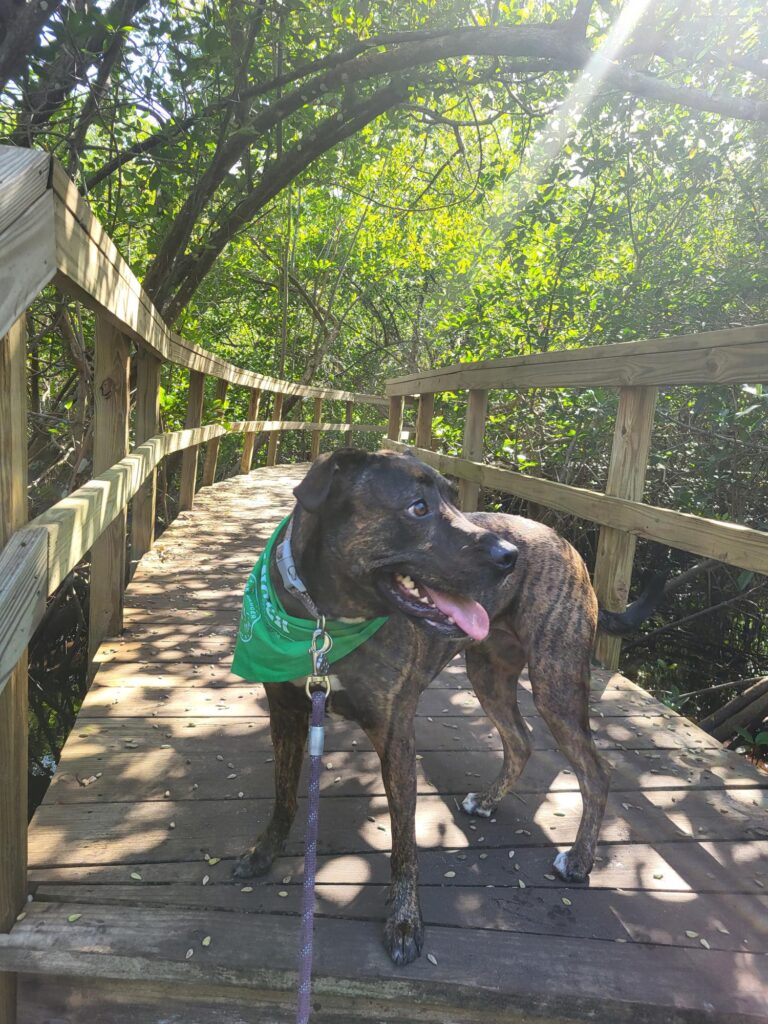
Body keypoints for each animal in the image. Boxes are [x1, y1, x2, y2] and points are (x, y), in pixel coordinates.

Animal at [233, 446, 638, 958]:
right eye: (418, 508)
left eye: (453, 500)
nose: (510, 557)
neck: (324, 620)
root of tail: (564, 541)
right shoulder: (285, 713)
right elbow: (284, 793)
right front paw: (264, 851)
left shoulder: (395, 735)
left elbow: (404, 841)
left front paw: (405, 919)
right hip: (489, 675)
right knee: (521, 740)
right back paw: (489, 800)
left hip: (556, 681)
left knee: (595, 772)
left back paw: (580, 860)